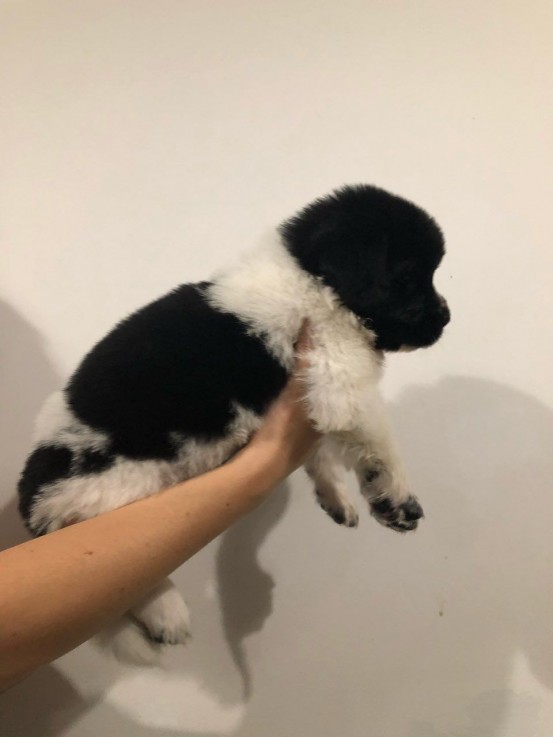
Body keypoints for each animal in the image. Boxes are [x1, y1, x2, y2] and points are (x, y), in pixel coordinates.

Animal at [17, 183, 450, 660]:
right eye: (409, 277)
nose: (447, 318)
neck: (310, 277)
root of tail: (31, 501)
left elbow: (321, 453)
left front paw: (336, 495)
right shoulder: (340, 379)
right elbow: (381, 441)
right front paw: (397, 496)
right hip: (117, 491)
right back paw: (167, 612)